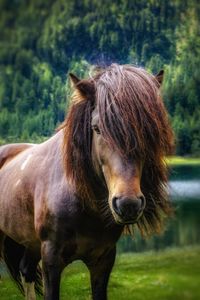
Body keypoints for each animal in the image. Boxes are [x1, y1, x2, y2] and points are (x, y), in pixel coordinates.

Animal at [0, 63, 173, 300]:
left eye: (147, 131)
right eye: (97, 128)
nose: (128, 204)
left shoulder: (103, 259)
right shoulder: (51, 259)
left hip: (30, 243)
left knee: (26, 271)